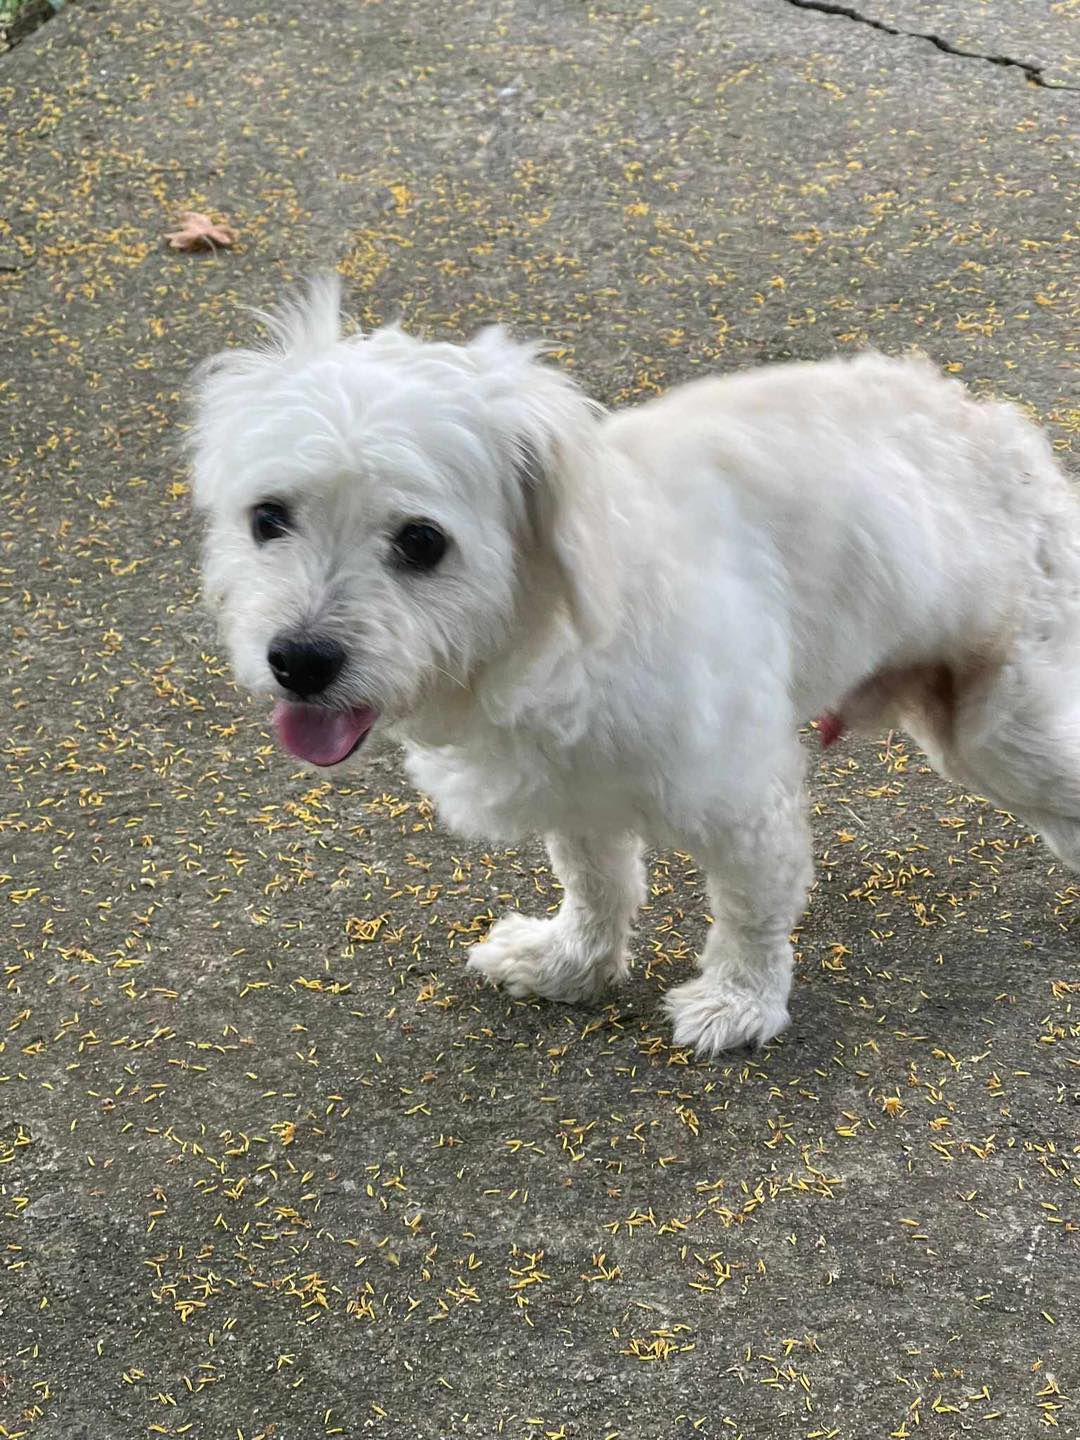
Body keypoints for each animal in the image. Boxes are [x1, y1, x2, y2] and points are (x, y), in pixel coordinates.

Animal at [190, 275, 1078, 1056]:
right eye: (268, 518)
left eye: (421, 541)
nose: (299, 660)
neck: (555, 636)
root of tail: (995, 424)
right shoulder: (577, 793)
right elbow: (596, 885)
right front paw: (570, 964)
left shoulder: (744, 802)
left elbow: (751, 914)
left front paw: (739, 1002)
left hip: (1005, 737)